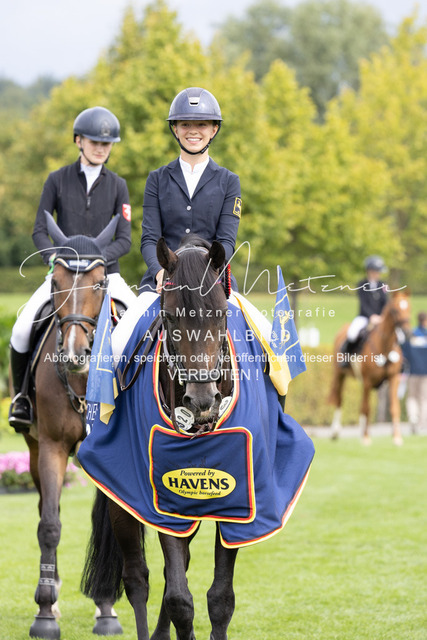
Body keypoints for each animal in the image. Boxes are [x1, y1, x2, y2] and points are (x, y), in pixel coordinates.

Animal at [15, 213, 124, 639]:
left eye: (99, 282)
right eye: (56, 282)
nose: (75, 354)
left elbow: (107, 522)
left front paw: (106, 607)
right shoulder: (52, 448)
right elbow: (49, 524)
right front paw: (44, 613)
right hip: (32, 450)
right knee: (46, 506)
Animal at [328, 290, 411, 445]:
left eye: (409, 307)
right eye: (395, 310)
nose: (407, 332)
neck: (384, 347)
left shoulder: (393, 379)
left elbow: (394, 407)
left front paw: (397, 437)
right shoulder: (367, 381)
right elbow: (367, 409)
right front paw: (366, 438)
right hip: (339, 375)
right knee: (339, 400)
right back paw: (335, 432)